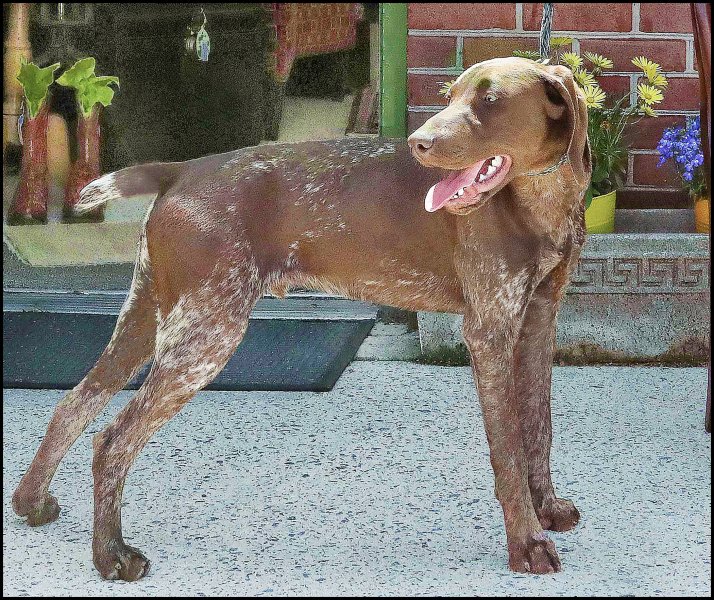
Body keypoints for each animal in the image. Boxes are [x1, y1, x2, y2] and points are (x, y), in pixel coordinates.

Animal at [12, 57, 588, 580]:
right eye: (451, 97)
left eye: (490, 100)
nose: (419, 143)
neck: (540, 200)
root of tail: (182, 170)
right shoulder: (489, 332)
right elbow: (508, 450)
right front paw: (526, 543)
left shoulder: (538, 322)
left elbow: (538, 429)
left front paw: (546, 509)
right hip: (206, 334)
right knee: (112, 440)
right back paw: (111, 556)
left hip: (149, 320)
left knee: (74, 403)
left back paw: (31, 501)